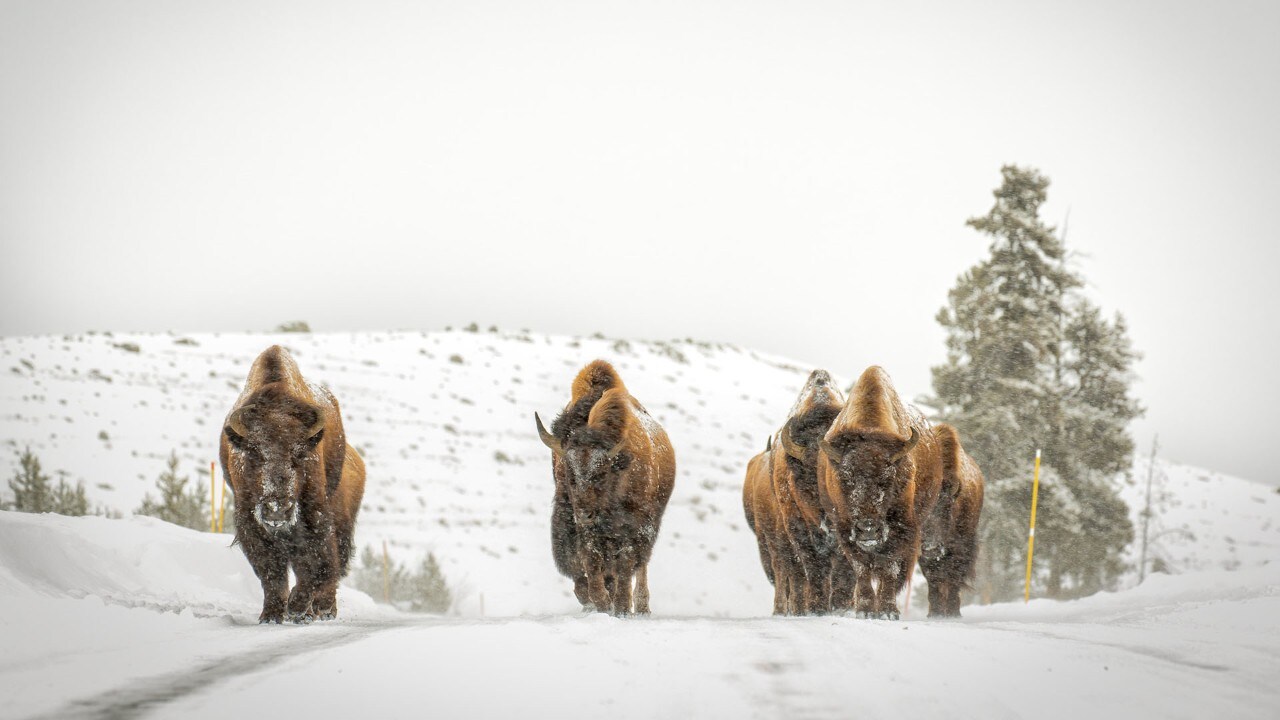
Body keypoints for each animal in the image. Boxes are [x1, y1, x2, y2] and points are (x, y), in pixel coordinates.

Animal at [220, 345, 366, 620]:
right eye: (254, 453)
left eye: (299, 454)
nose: (277, 509)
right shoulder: (249, 520)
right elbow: (271, 571)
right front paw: (272, 615)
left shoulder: (314, 514)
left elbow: (314, 562)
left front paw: (297, 606)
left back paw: (321, 610)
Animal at [535, 358, 680, 609]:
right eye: (569, 473)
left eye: (602, 473)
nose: (585, 514)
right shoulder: (583, 531)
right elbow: (592, 564)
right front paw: (599, 603)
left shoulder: (634, 527)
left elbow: (625, 566)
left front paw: (620, 607)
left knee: (638, 565)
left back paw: (639, 607)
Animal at [819, 363, 942, 617]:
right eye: (845, 478)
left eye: (888, 478)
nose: (868, 529)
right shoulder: (844, 528)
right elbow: (862, 569)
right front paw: (865, 610)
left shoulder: (901, 528)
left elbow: (889, 568)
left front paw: (887, 611)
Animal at [916, 420, 983, 617]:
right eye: (921, 510)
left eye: (948, 507)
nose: (930, 547)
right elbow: (932, 578)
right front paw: (934, 613)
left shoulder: (959, 545)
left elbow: (953, 575)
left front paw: (953, 612)